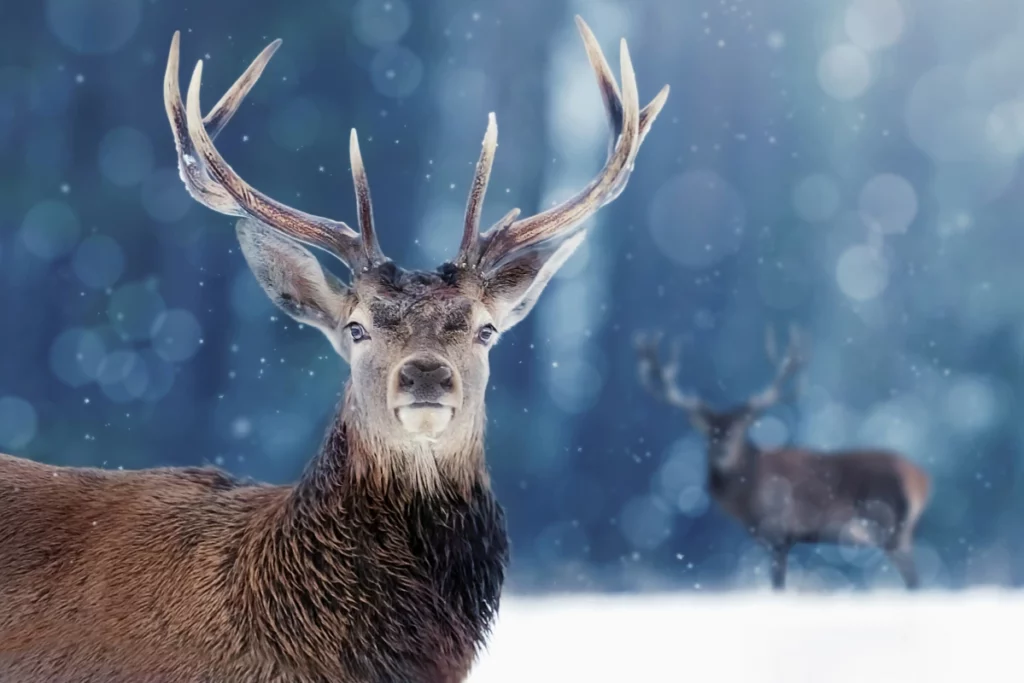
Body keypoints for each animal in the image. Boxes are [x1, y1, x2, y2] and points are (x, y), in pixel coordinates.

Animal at [630, 327, 929, 589]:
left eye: (740, 428)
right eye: (708, 430)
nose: (721, 449)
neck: (745, 500)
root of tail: (923, 481)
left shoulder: (778, 532)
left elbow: (779, 586)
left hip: (893, 527)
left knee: (915, 581)